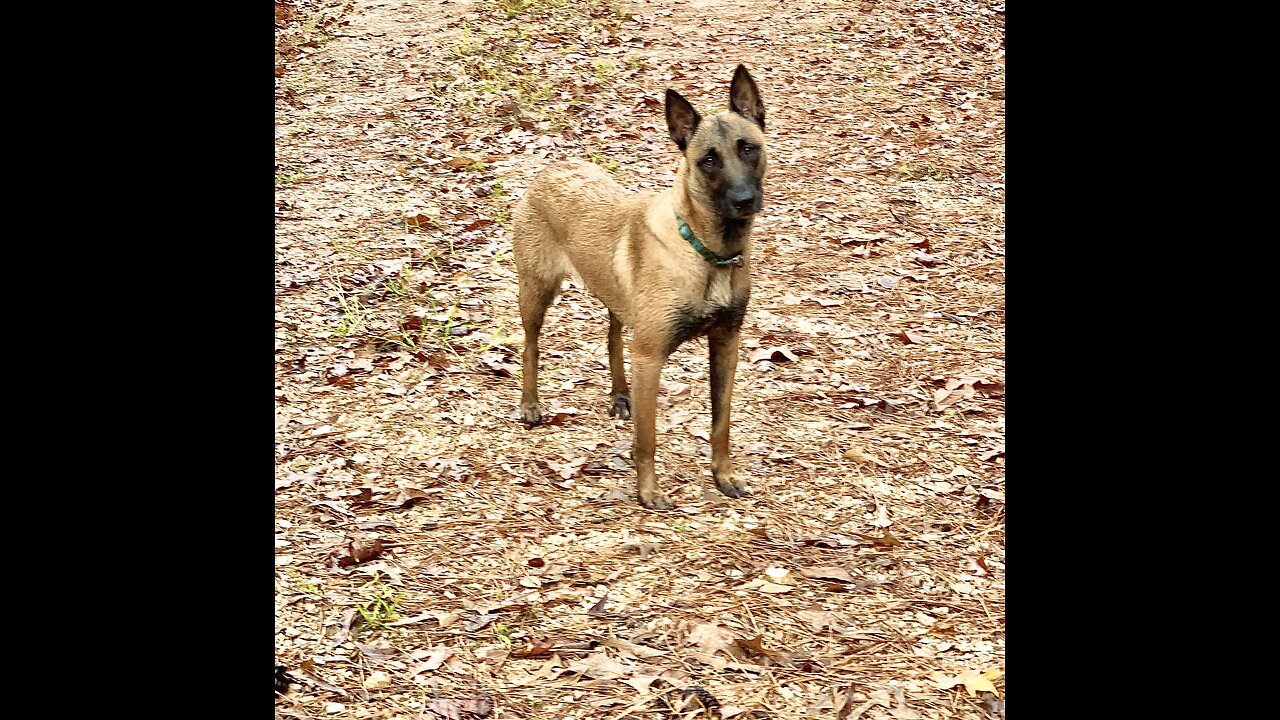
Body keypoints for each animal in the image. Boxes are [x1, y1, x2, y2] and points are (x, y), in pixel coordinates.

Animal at [512, 64, 768, 507]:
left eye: (748, 148)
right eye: (709, 160)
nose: (743, 200)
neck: (707, 253)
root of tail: (551, 168)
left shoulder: (726, 343)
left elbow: (721, 423)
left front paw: (723, 475)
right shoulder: (650, 356)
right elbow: (647, 438)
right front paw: (648, 491)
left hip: (616, 297)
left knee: (613, 336)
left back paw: (620, 394)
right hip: (536, 291)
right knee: (530, 346)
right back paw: (531, 405)